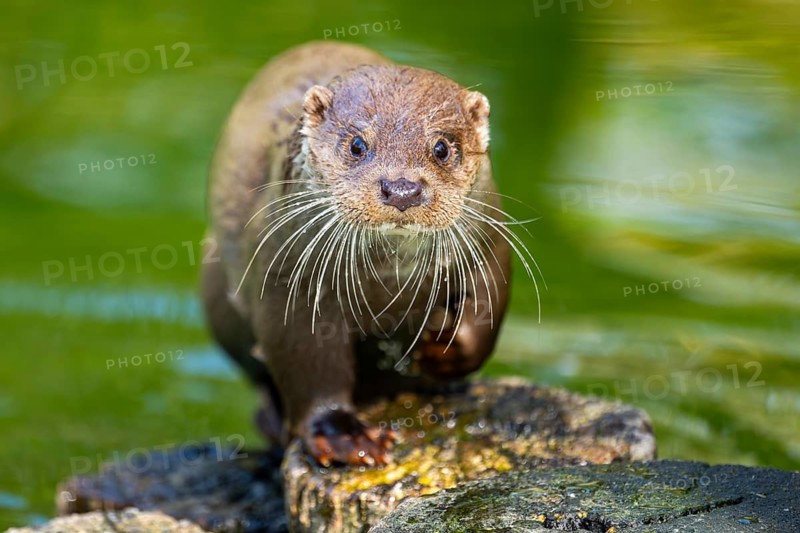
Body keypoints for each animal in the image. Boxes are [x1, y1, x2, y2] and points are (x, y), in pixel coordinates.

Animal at [202, 41, 537, 467]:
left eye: (442, 148)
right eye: (358, 145)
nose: (402, 188)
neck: (390, 279)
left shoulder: (489, 242)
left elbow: (487, 312)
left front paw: (443, 350)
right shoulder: (287, 273)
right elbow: (306, 359)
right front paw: (341, 433)